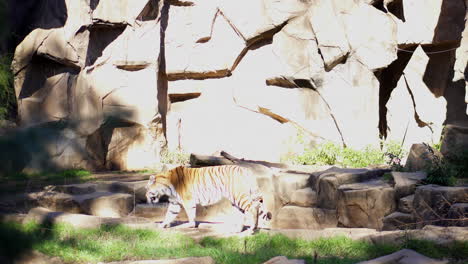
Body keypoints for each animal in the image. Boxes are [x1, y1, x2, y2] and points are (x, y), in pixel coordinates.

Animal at [144, 165, 272, 233]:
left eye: (147, 189)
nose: (146, 198)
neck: (167, 186)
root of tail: (246, 170)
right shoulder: (175, 203)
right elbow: (169, 215)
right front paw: (162, 225)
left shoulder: (188, 201)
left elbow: (191, 215)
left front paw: (190, 226)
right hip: (236, 200)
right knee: (245, 212)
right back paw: (238, 230)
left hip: (239, 196)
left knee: (253, 207)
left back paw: (252, 230)